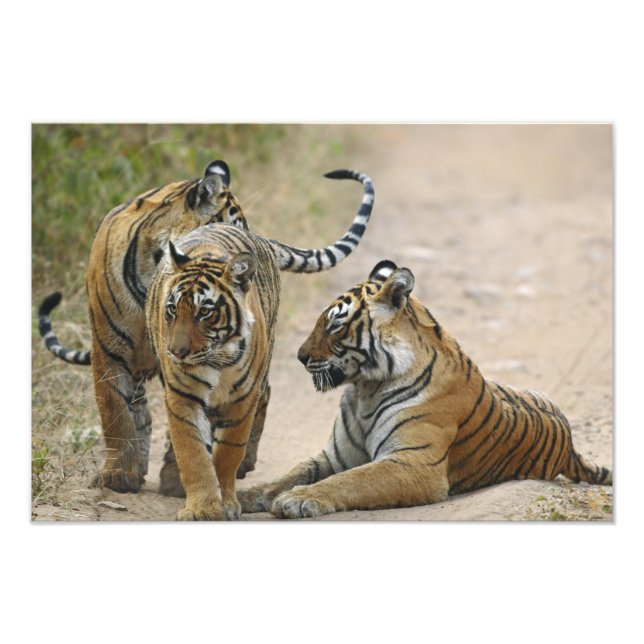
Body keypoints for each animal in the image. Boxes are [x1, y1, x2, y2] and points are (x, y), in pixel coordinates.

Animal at [145, 174, 374, 520]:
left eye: (204, 312)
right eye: (171, 310)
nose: (176, 352)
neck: (216, 358)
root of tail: (261, 238)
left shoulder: (242, 396)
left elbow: (228, 452)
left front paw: (226, 502)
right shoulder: (182, 394)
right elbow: (192, 452)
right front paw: (201, 507)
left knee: (265, 396)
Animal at [237, 259, 612, 518]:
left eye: (335, 325)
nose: (300, 357)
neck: (365, 389)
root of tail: (570, 444)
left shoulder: (414, 463)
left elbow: (351, 480)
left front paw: (299, 498)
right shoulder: (334, 455)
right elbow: (286, 477)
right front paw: (242, 496)